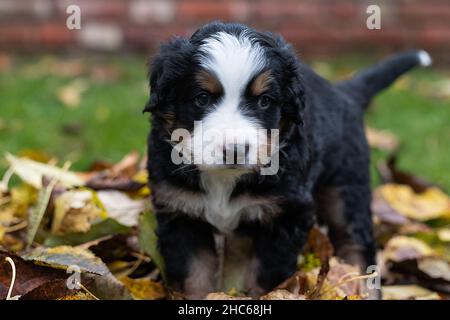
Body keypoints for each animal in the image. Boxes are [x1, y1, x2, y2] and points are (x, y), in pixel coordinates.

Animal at [144, 21, 432, 298]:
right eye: (202, 98)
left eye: (264, 101)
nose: (235, 149)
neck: (225, 180)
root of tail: (343, 93)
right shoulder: (181, 211)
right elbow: (195, 276)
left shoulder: (286, 213)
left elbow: (266, 278)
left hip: (347, 187)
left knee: (356, 245)